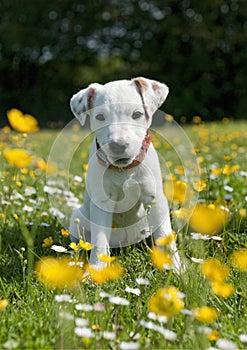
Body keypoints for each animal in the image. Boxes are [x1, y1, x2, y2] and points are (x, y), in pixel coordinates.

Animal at [68, 77, 180, 270]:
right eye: (100, 117)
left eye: (137, 114)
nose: (118, 146)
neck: (124, 170)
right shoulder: (102, 203)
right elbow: (100, 240)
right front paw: (97, 269)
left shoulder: (154, 198)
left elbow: (165, 235)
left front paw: (176, 268)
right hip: (78, 220)